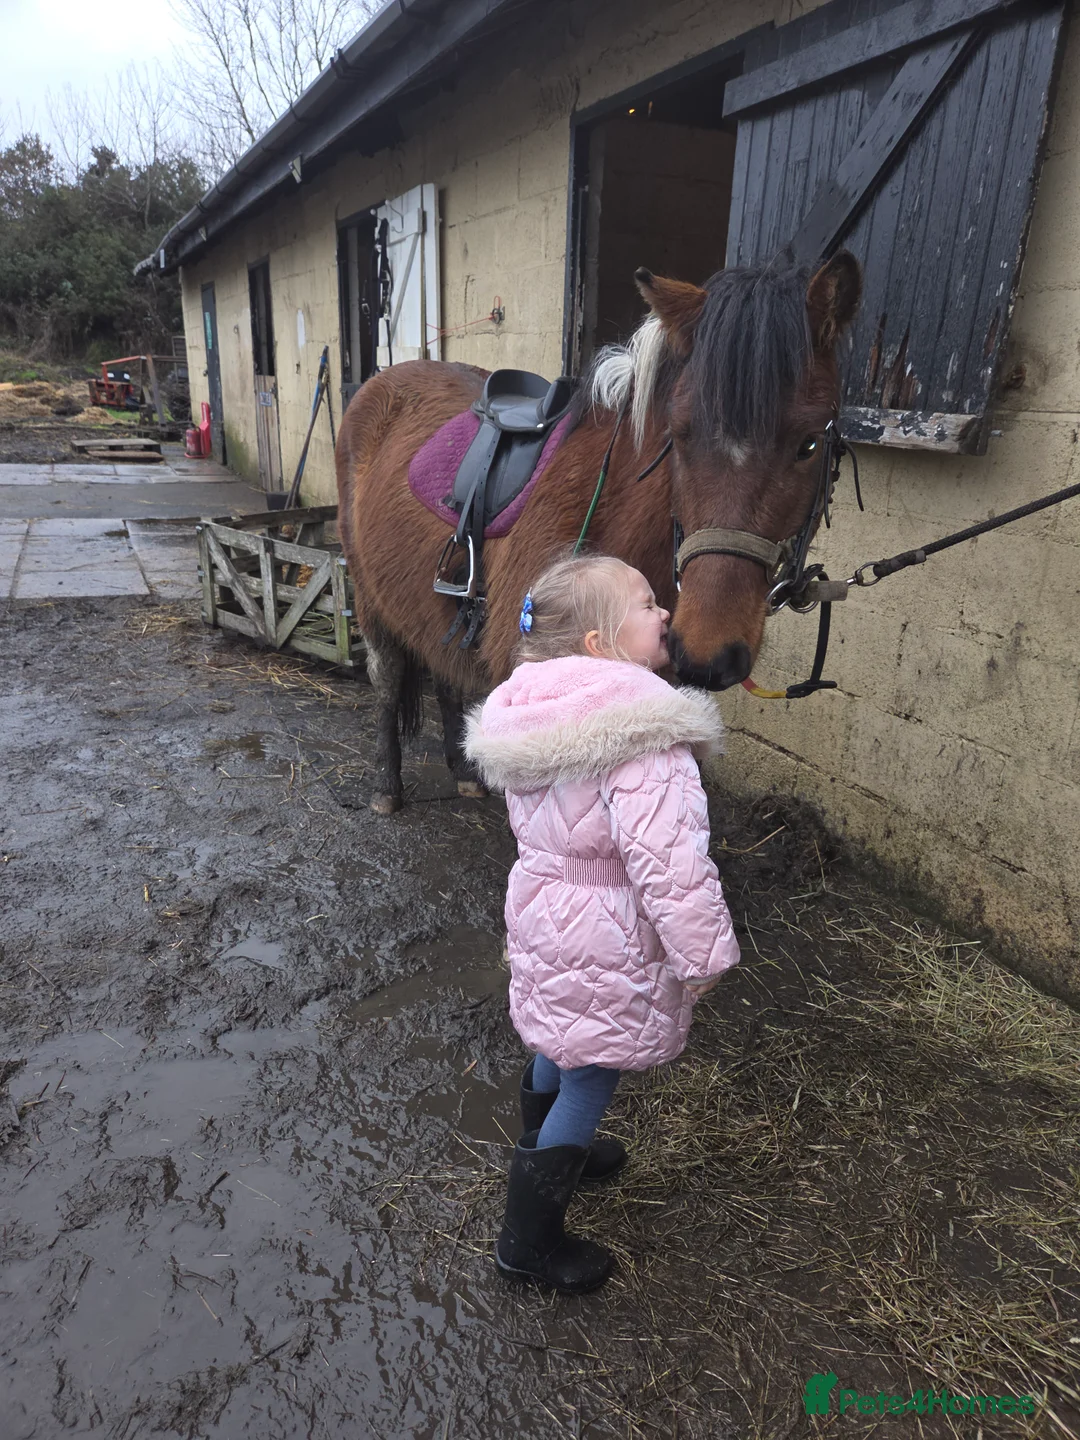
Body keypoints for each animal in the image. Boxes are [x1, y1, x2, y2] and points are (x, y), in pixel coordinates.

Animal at [335, 251, 862, 813]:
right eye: (680, 436)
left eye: (810, 444)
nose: (708, 653)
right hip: (369, 594)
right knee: (388, 678)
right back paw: (386, 786)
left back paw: (463, 772)